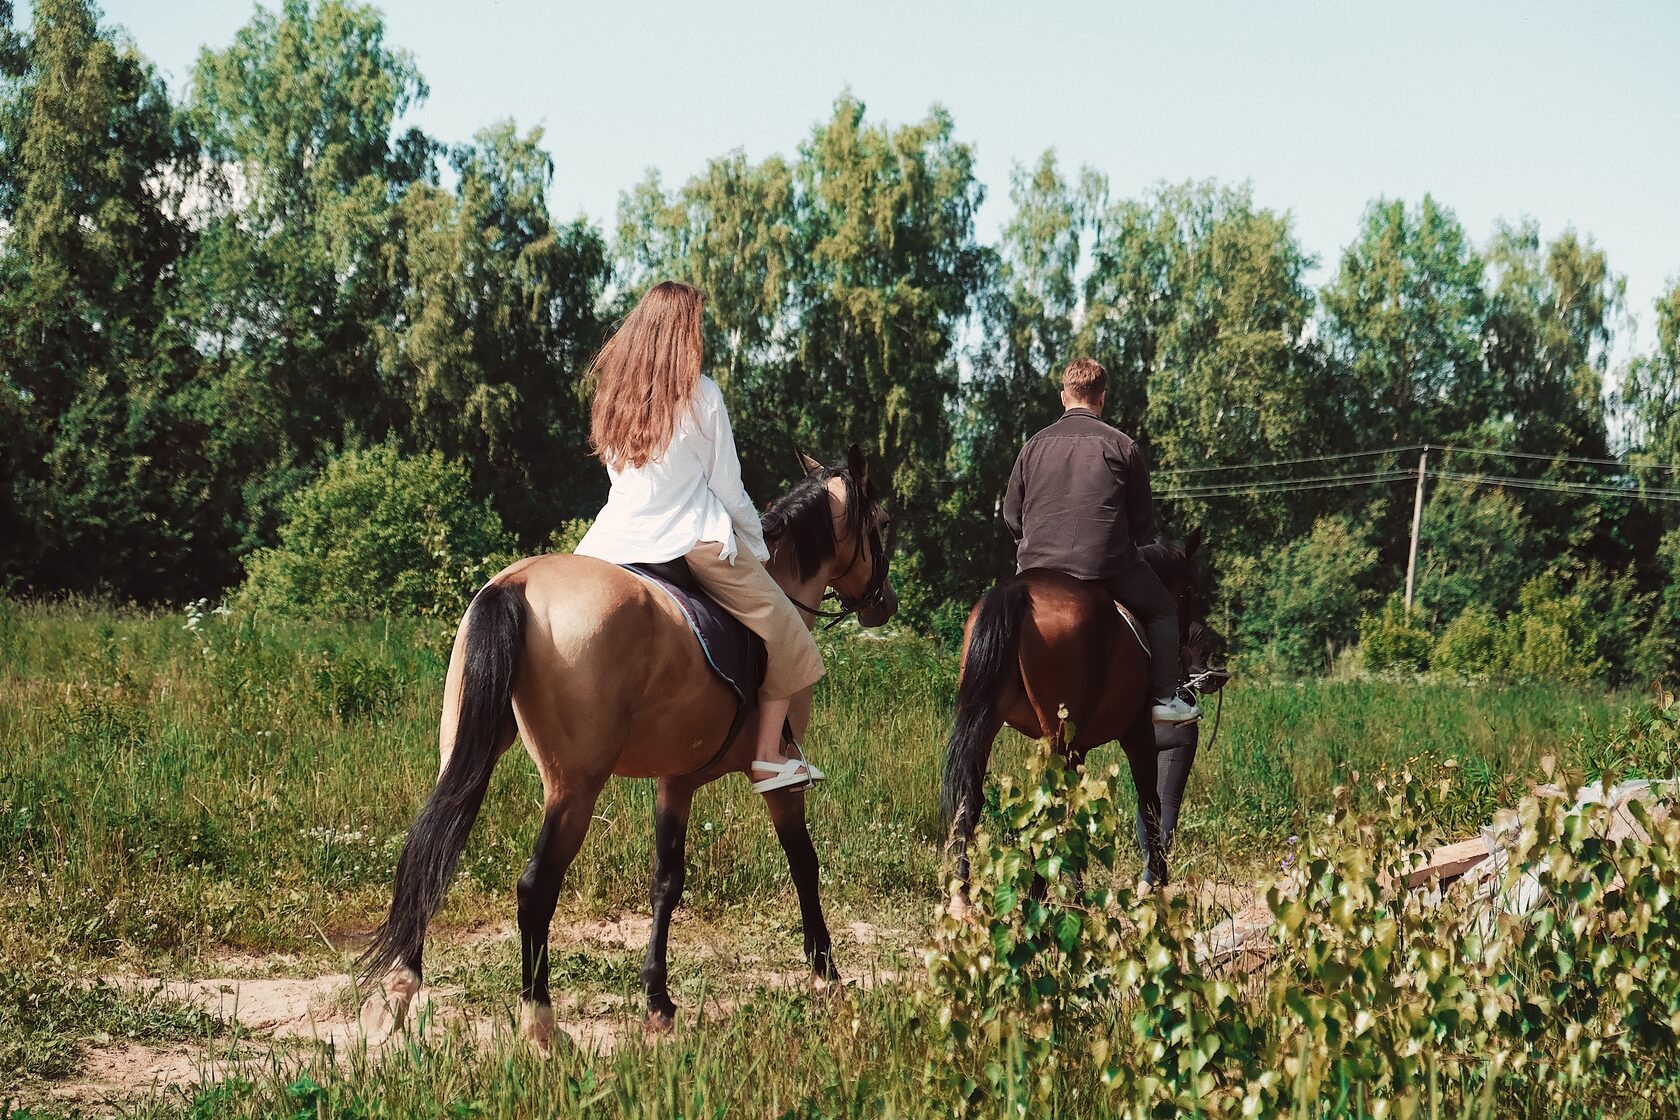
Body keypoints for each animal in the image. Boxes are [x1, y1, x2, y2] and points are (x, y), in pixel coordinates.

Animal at [362, 443, 900, 1041]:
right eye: (881, 522)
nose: (885, 603)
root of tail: (517, 584)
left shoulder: (676, 781)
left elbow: (666, 881)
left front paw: (658, 1000)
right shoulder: (778, 779)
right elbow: (804, 863)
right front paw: (827, 976)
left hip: (464, 753)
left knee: (430, 849)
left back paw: (399, 989)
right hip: (574, 787)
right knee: (534, 886)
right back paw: (540, 1022)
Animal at [947, 530, 1209, 906]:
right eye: (1189, 589)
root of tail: (1019, 590)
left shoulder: (1079, 746)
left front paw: (1076, 886)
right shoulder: (1138, 732)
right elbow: (1150, 803)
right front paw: (1156, 882)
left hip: (989, 722)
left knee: (970, 797)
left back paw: (963, 897)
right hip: (1058, 733)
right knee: (1048, 804)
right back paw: (1034, 898)